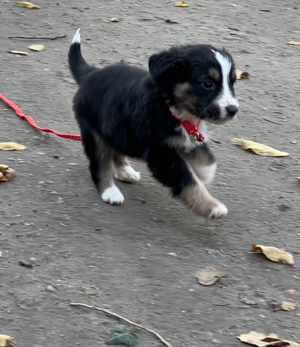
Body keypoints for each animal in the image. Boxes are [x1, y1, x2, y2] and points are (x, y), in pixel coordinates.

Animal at [68, 28, 239, 219]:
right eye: (208, 84)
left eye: (232, 82)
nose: (233, 110)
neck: (174, 110)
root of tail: (90, 74)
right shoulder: (161, 153)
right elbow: (188, 181)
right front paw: (211, 206)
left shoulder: (186, 138)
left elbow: (204, 156)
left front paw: (205, 173)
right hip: (93, 130)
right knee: (99, 162)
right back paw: (109, 191)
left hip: (115, 128)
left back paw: (125, 171)